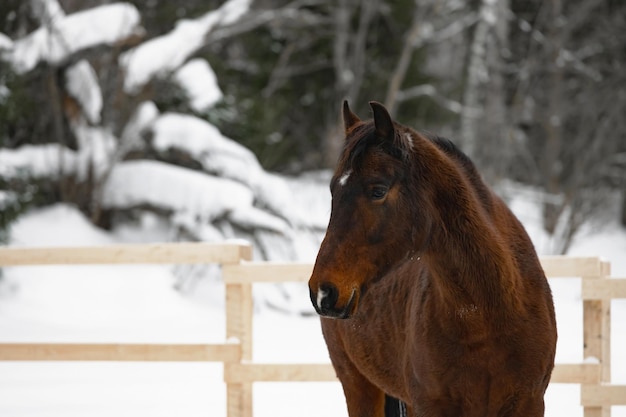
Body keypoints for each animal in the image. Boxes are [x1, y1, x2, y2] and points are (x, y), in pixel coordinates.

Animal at [308, 101, 556, 416]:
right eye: (333, 190)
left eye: (378, 190)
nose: (323, 291)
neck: (487, 314)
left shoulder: (529, 402)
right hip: (359, 386)